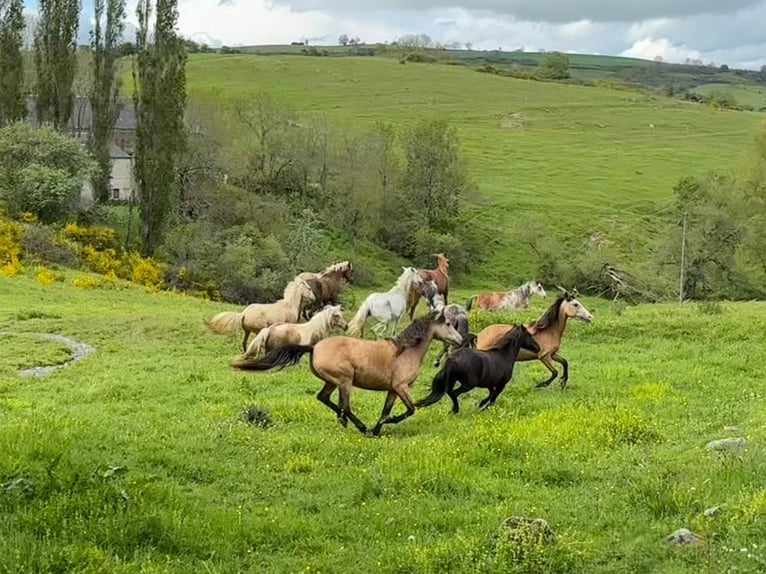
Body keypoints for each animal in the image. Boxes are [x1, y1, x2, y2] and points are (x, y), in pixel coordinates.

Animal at [231, 312, 464, 438]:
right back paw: (359, 426)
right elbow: (410, 409)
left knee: (324, 398)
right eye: (448, 324)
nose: (461, 340)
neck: (406, 351)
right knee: (346, 406)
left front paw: (377, 430)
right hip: (345, 381)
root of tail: (314, 347)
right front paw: (382, 426)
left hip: (332, 382)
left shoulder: (392, 390)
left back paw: (345, 421)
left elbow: (385, 411)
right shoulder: (401, 387)